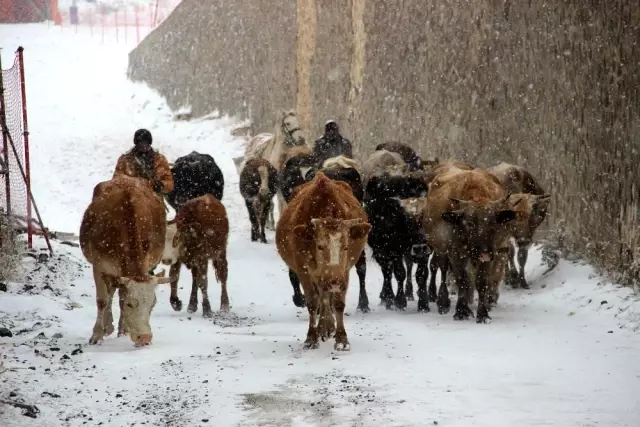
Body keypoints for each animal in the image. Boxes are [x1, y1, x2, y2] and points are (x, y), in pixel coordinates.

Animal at [81, 176, 174, 348]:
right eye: (131, 304)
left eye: (153, 304)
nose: (145, 338)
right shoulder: (99, 265)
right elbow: (102, 300)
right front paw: (97, 334)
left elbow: (121, 296)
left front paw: (124, 329)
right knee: (110, 293)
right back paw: (107, 327)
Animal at [274, 172, 370, 352]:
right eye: (319, 246)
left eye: (346, 246)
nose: (334, 282)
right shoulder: (304, 270)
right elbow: (312, 302)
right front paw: (311, 338)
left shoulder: (344, 271)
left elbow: (338, 303)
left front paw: (341, 339)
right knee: (321, 296)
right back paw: (324, 327)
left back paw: (327, 326)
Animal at [422, 169, 516, 322]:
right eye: (470, 223)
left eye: (493, 223)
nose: (484, 251)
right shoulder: (455, 253)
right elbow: (462, 280)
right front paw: (461, 311)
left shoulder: (491, 256)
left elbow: (481, 282)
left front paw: (482, 314)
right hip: (440, 250)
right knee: (441, 270)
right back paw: (443, 302)